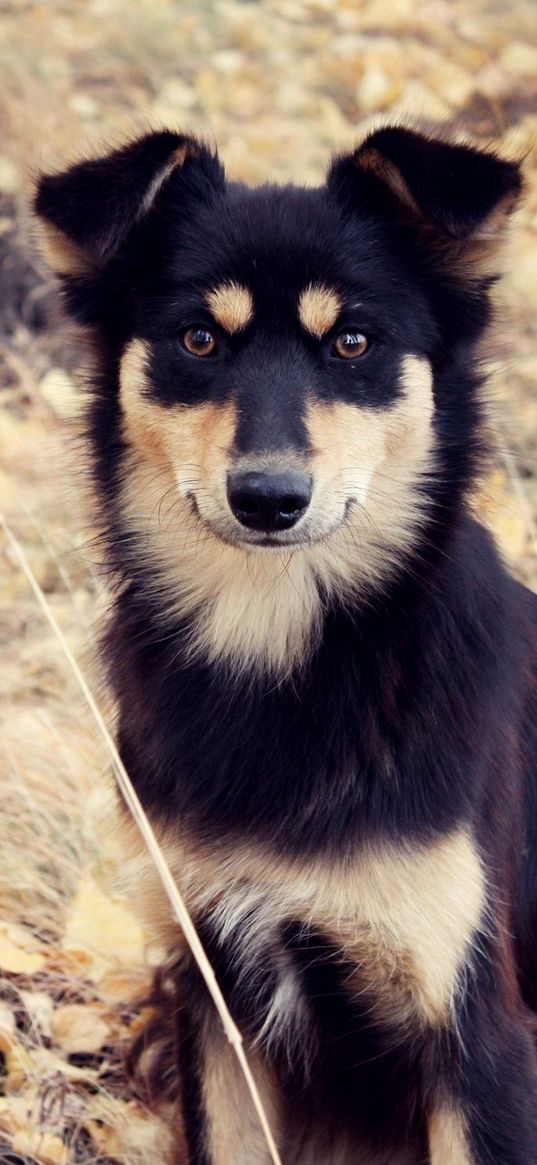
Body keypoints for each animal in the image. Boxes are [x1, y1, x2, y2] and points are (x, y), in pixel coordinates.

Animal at [34, 122, 535, 1160]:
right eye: (198, 338)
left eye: (352, 341)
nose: (267, 498)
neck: (283, 649)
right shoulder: (213, 998)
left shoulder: (479, 1038)